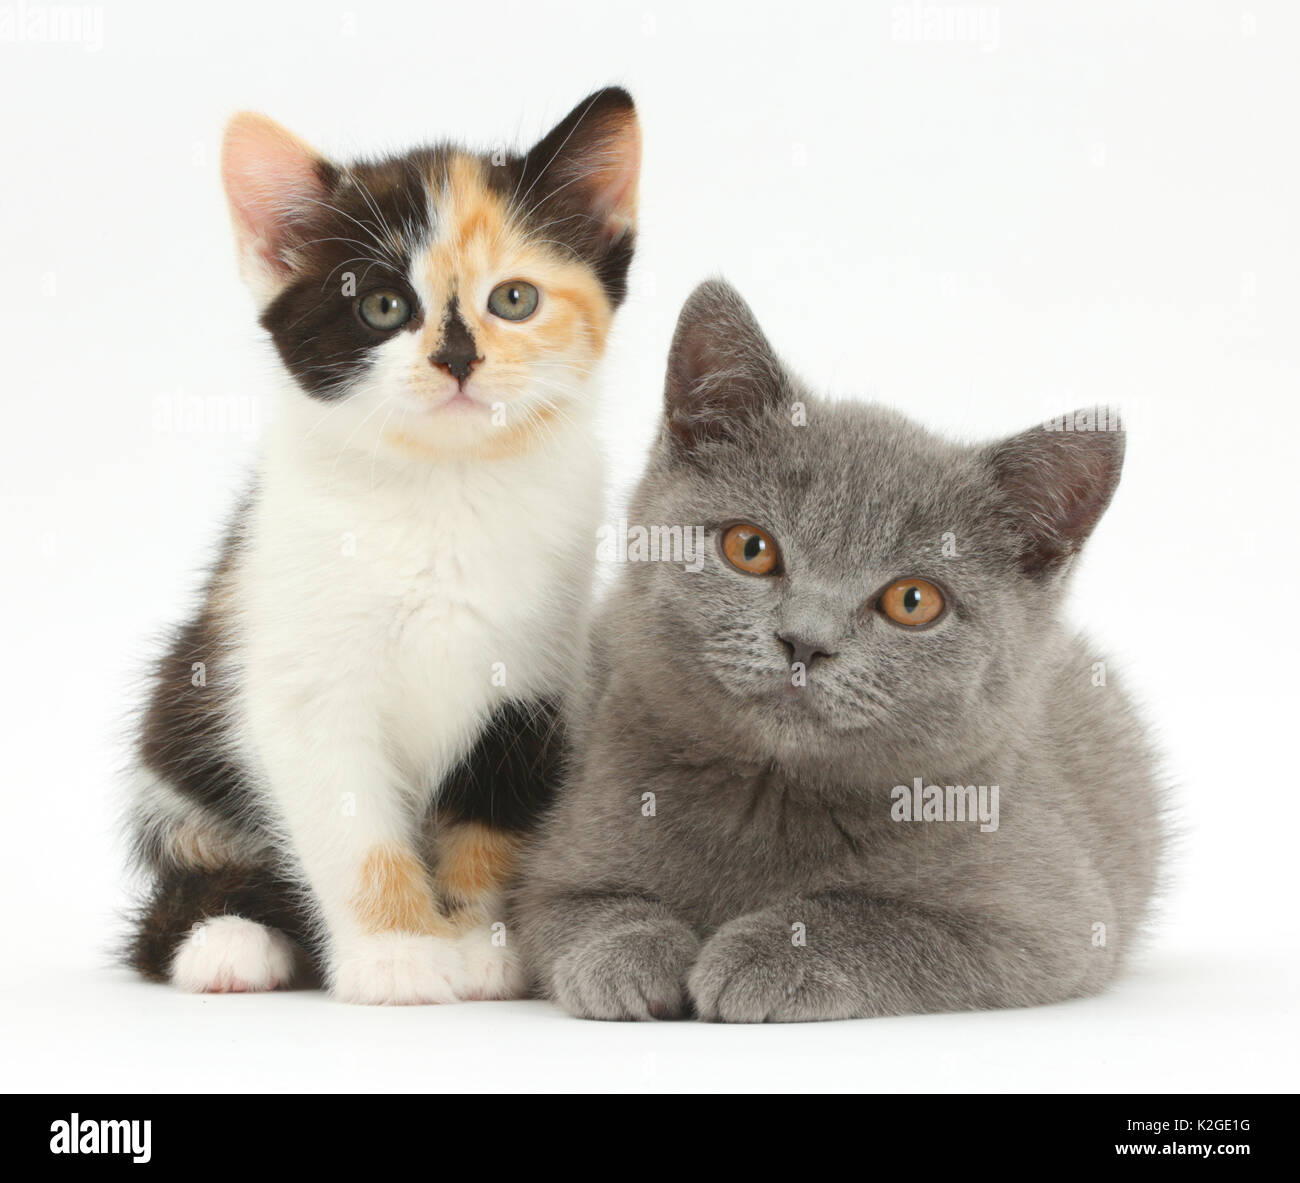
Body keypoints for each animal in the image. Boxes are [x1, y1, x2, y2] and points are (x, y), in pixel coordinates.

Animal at [124, 87, 642, 1003]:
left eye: (514, 300)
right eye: (382, 307)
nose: (457, 358)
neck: (442, 489)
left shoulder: (531, 686)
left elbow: (492, 813)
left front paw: (480, 944)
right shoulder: (297, 686)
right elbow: (353, 830)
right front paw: (396, 952)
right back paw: (227, 941)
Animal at [517, 280, 1170, 1029]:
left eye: (913, 601)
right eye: (750, 547)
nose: (806, 639)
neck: (772, 794)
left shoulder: (1049, 919)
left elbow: (886, 920)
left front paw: (773, 951)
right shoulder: (556, 862)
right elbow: (575, 907)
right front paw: (626, 953)